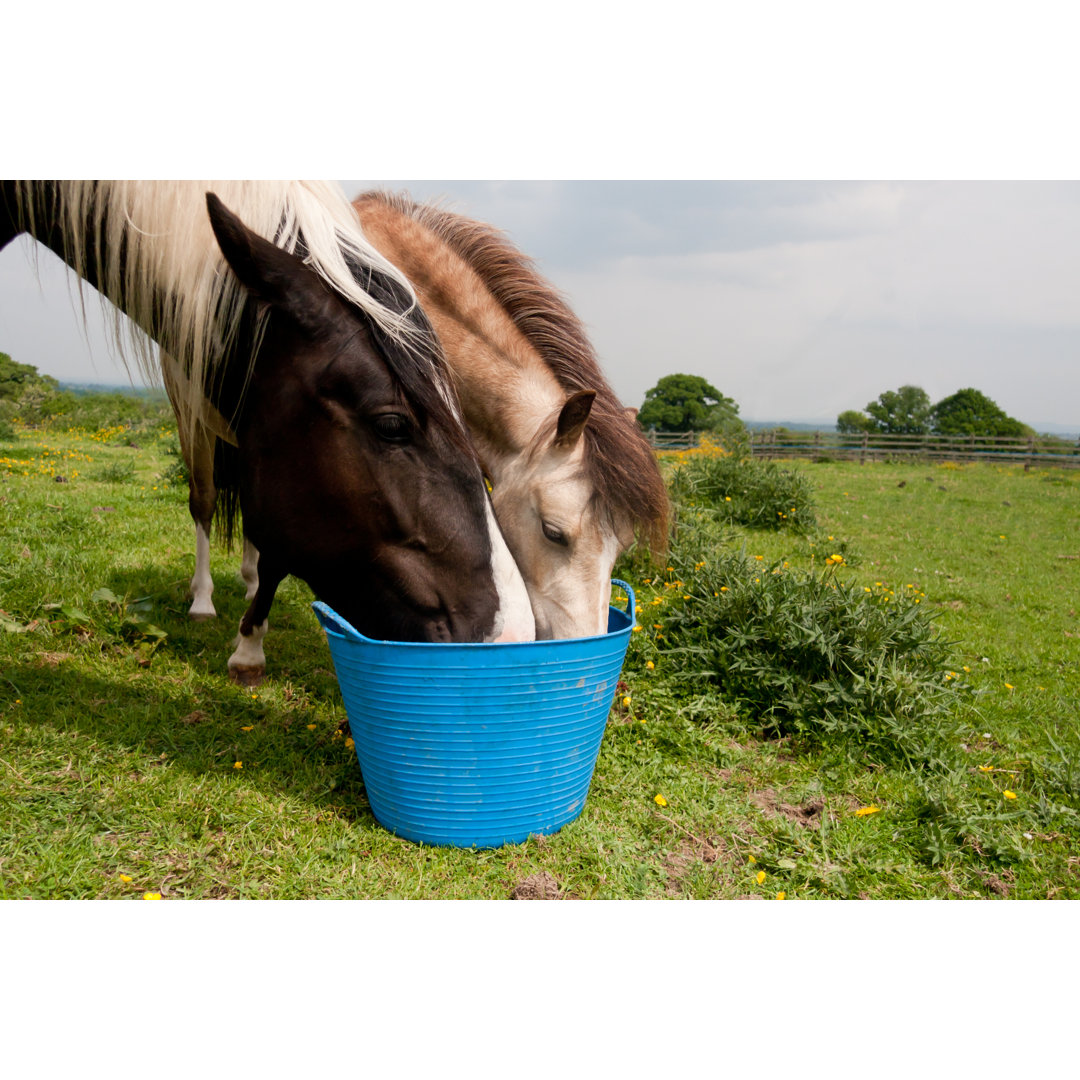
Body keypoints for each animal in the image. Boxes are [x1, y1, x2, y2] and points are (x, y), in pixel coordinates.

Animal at [0, 179, 535, 682]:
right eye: (391, 425)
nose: (511, 638)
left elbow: (271, 547)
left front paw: (251, 634)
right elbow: (227, 517)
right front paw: (239, 640)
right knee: (205, 504)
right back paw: (203, 598)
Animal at [162, 187, 665, 639]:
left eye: (621, 545)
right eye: (553, 532)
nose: (583, 641)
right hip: (194, 420)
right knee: (204, 500)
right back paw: (203, 600)